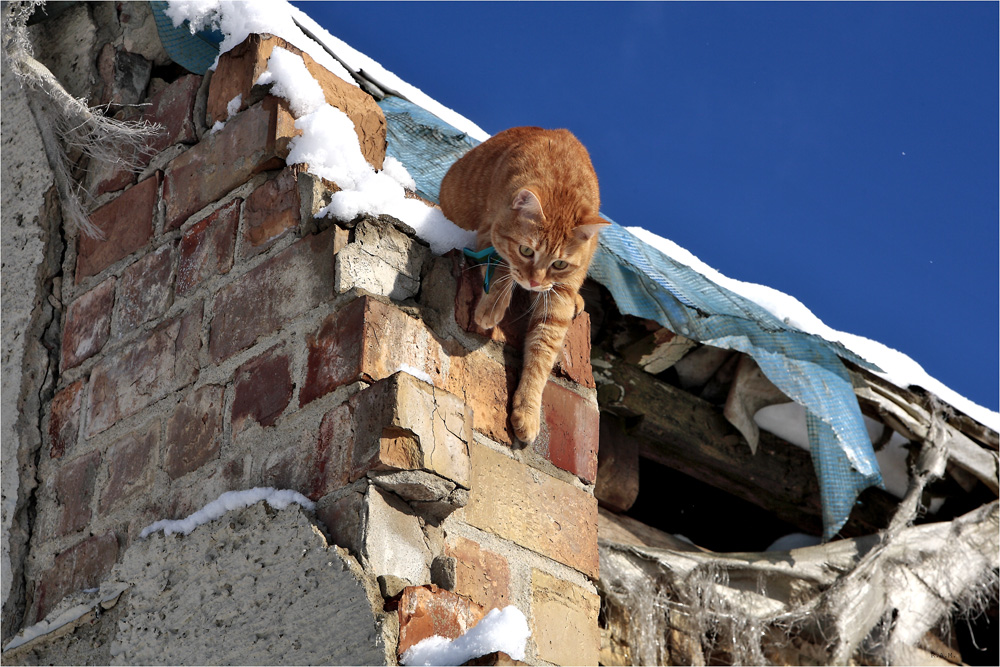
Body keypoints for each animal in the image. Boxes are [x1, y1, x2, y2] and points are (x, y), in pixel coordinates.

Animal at [444, 128, 608, 446]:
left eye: (559, 263)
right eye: (526, 250)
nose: (535, 281)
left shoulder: (559, 295)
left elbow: (542, 354)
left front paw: (528, 411)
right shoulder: (489, 235)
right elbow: (502, 271)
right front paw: (492, 309)